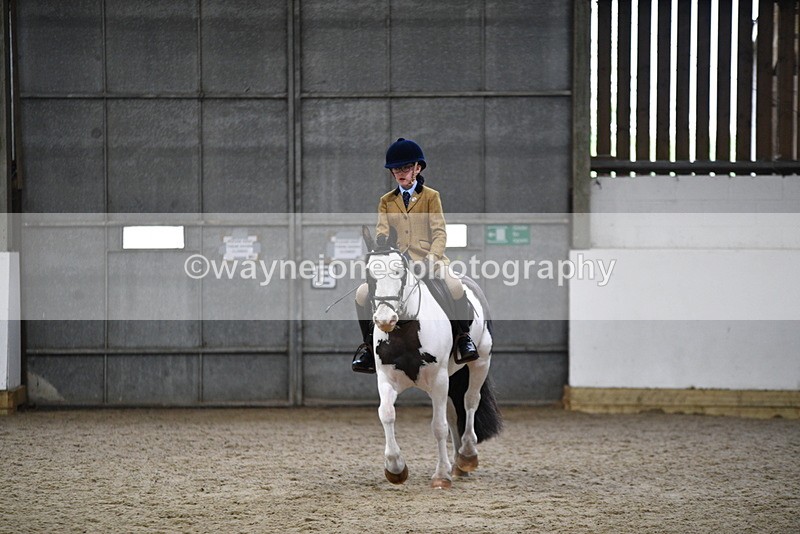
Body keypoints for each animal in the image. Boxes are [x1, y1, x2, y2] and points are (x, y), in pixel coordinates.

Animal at [362, 226, 503, 488]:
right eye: (369, 274)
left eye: (400, 271)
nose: (385, 319)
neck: (405, 331)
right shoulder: (386, 379)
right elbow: (386, 414)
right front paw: (395, 468)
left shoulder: (438, 380)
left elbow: (439, 427)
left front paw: (440, 476)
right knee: (453, 411)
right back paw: (458, 465)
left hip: (480, 363)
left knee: (470, 401)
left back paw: (467, 456)